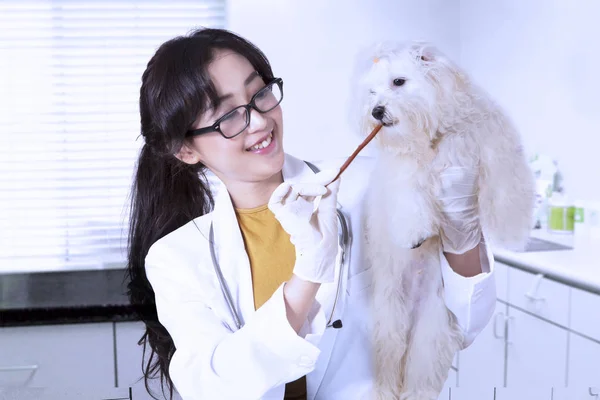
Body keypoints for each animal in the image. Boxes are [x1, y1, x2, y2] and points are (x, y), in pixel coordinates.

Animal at [352, 42, 536, 398]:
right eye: (371, 92)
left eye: (398, 81)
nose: (376, 111)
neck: (435, 134)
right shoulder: (403, 170)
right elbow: (410, 193)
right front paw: (413, 232)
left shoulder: (489, 140)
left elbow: (508, 182)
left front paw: (514, 230)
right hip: (389, 322)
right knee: (388, 365)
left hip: (433, 330)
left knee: (420, 375)